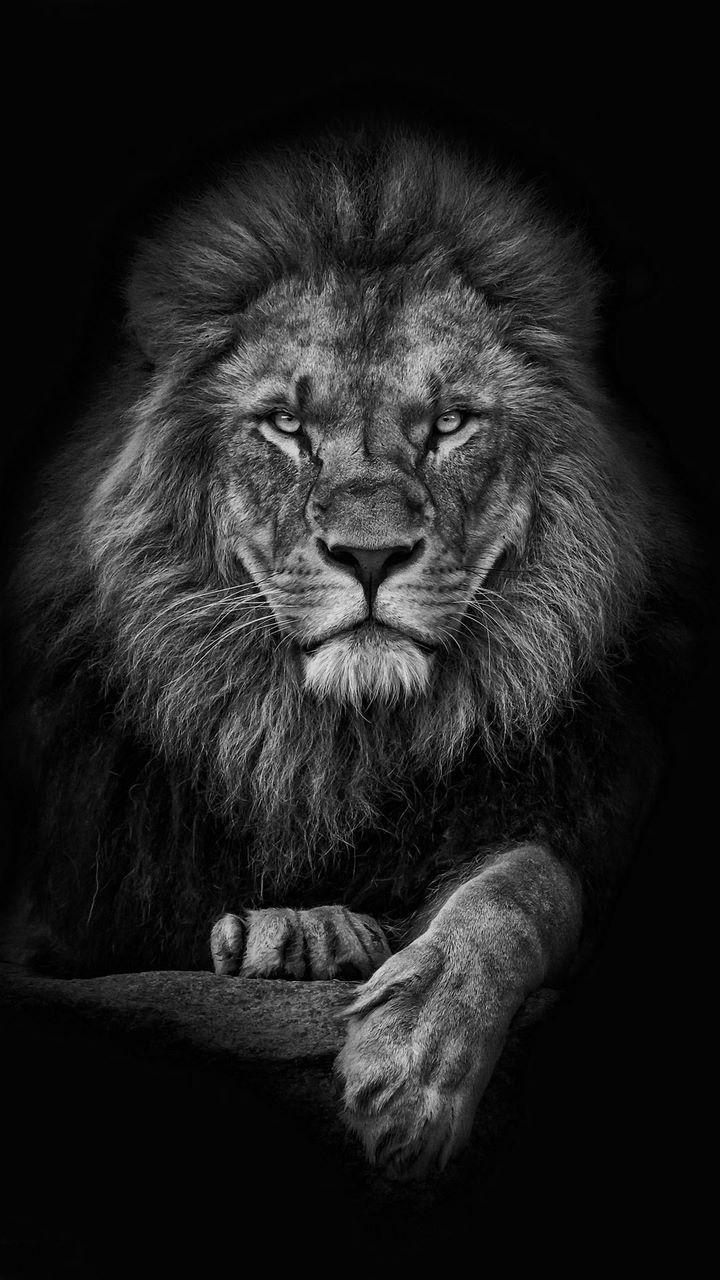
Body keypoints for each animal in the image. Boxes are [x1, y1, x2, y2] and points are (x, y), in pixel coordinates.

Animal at [1, 126, 693, 1179]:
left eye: (449, 423)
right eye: (288, 426)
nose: (369, 555)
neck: (335, 747)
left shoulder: (578, 811)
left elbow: (522, 887)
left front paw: (414, 1061)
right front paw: (300, 930)